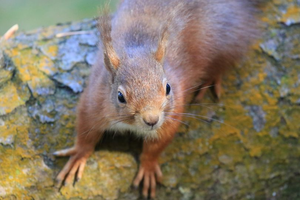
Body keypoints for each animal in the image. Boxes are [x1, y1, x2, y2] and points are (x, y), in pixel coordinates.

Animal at [54, 0, 258, 197]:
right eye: (120, 96)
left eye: (168, 88)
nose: (152, 120)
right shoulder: (94, 101)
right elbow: (85, 131)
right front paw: (78, 156)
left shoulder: (171, 114)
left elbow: (157, 145)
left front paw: (148, 167)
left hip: (227, 40)